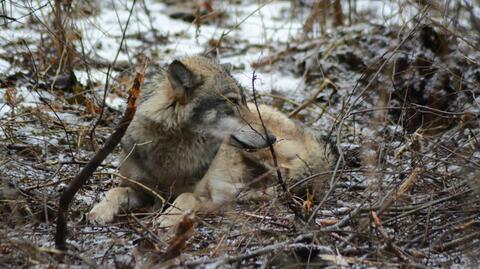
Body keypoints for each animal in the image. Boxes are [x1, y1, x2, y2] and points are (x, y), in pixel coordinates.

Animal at [89, 55, 334, 226]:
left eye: (244, 101)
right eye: (233, 101)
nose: (272, 138)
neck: (173, 149)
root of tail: (305, 132)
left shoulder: (205, 195)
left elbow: (186, 196)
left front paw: (169, 218)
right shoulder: (142, 189)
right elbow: (115, 191)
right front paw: (99, 211)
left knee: (289, 177)